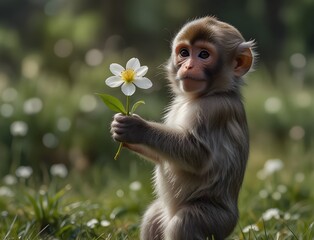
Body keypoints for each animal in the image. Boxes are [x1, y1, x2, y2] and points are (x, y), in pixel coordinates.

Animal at [110, 15, 255, 239]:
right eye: (184, 53)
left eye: (204, 54)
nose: (187, 66)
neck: (200, 96)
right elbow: (162, 155)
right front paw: (120, 128)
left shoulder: (213, 110)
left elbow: (198, 155)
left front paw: (136, 128)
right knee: (153, 216)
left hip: (217, 220)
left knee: (184, 223)